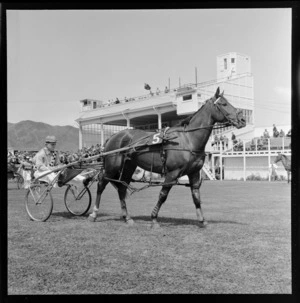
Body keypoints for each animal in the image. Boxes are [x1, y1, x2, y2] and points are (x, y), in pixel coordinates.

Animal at [87, 87, 246, 228]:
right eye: (223, 104)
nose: (243, 119)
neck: (188, 139)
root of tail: (112, 137)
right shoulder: (172, 173)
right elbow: (163, 195)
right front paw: (154, 219)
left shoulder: (194, 173)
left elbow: (196, 197)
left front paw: (202, 221)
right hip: (112, 166)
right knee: (101, 183)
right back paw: (94, 214)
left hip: (128, 167)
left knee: (121, 187)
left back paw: (127, 218)